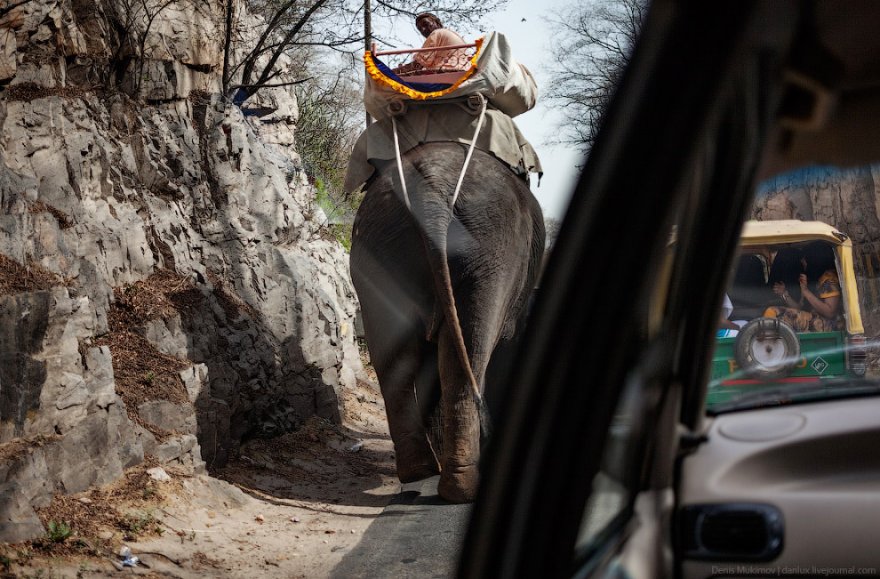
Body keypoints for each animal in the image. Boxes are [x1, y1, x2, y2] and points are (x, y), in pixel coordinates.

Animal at [348, 140, 544, 502]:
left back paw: (420, 472)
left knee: (395, 358)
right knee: (468, 355)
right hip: (493, 249)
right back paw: (461, 489)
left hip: (382, 240)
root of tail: (432, 193)